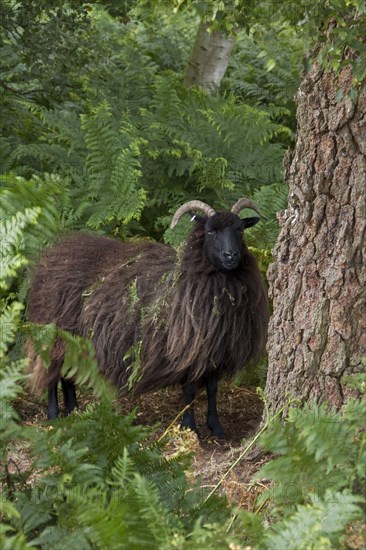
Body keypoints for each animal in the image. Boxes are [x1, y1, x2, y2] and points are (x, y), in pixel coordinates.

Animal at [27, 201, 268, 438]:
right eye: (210, 231)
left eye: (240, 229)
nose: (231, 255)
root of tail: (51, 255)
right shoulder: (187, 350)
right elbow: (190, 390)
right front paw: (190, 427)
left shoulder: (215, 350)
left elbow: (212, 388)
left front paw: (216, 428)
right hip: (53, 333)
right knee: (52, 371)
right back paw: (54, 416)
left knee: (67, 373)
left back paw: (73, 411)